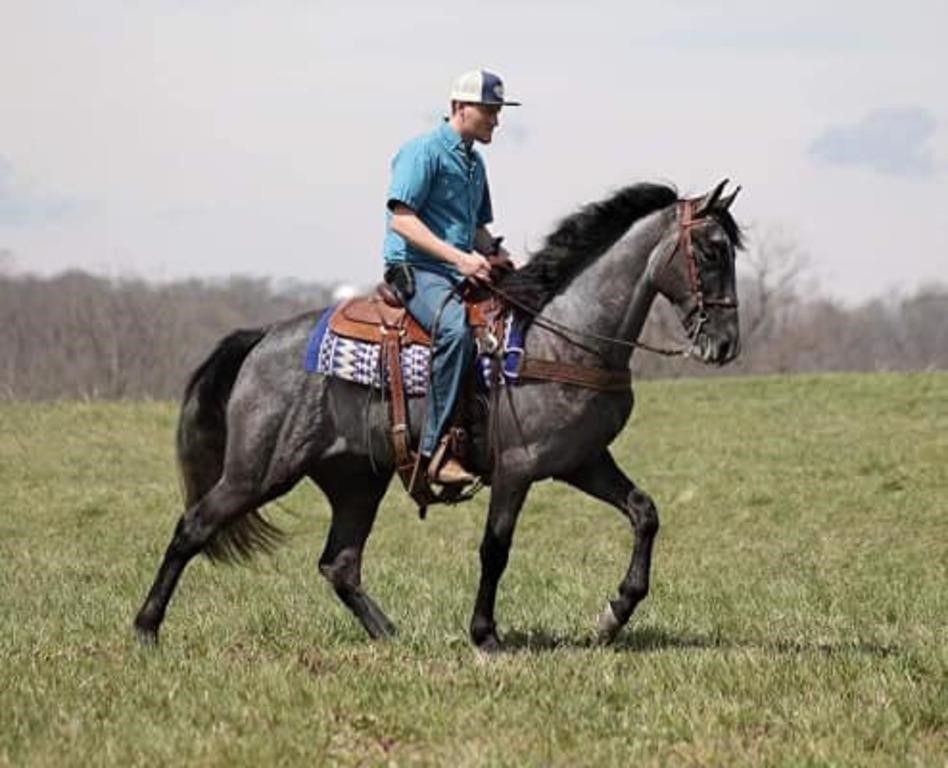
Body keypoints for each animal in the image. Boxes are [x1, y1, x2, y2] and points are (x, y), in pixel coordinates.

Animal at [133, 182, 744, 656]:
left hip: (356, 480)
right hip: (258, 472)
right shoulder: (518, 468)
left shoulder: (582, 460)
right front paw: (486, 635)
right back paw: (145, 629)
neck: (558, 336)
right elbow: (495, 549)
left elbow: (645, 513)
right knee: (193, 528)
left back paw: (391, 635)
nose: (725, 344)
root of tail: (261, 338)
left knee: (339, 563)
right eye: (712, 250)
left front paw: (613, 615)